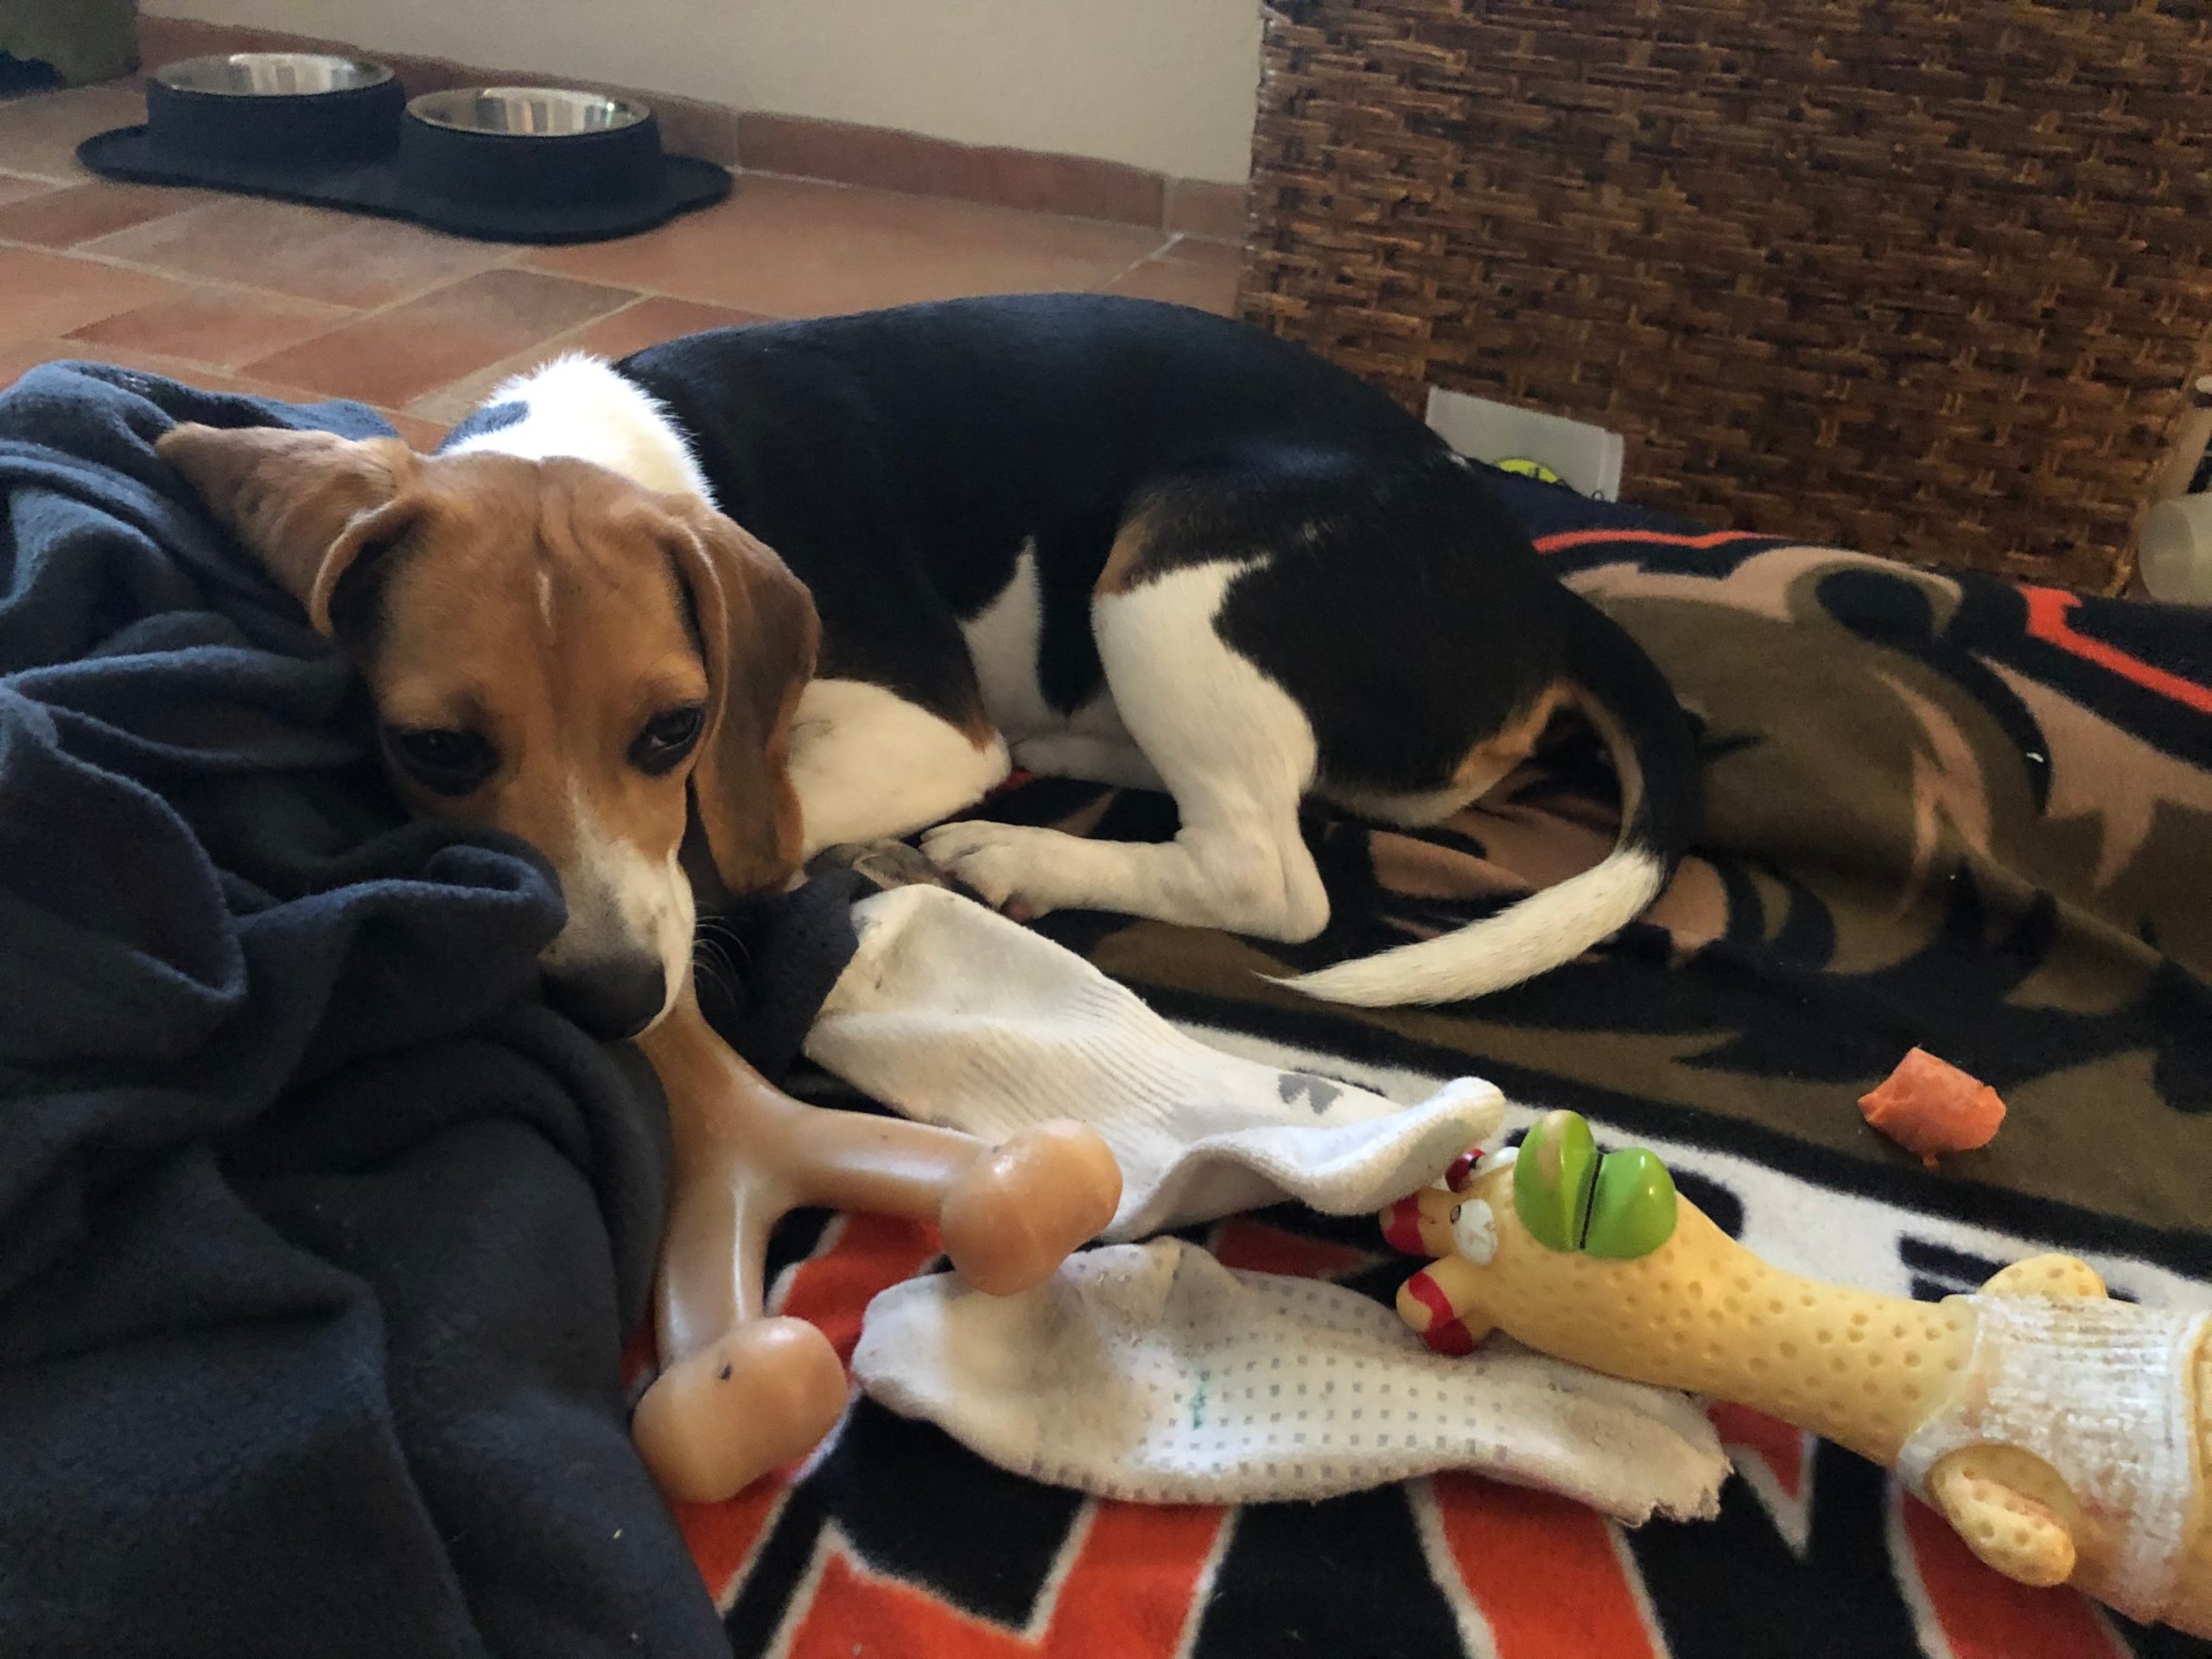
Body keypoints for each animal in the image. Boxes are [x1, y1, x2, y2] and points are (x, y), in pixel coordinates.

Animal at [168, 291, 1689, 1044]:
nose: (610, 998)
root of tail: (1543, 591)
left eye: (673, 732)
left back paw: (1011, 855)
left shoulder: (917, 729)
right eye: (436, 752)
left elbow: (739, 828)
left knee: (1267, 874)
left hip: (1172, 565)